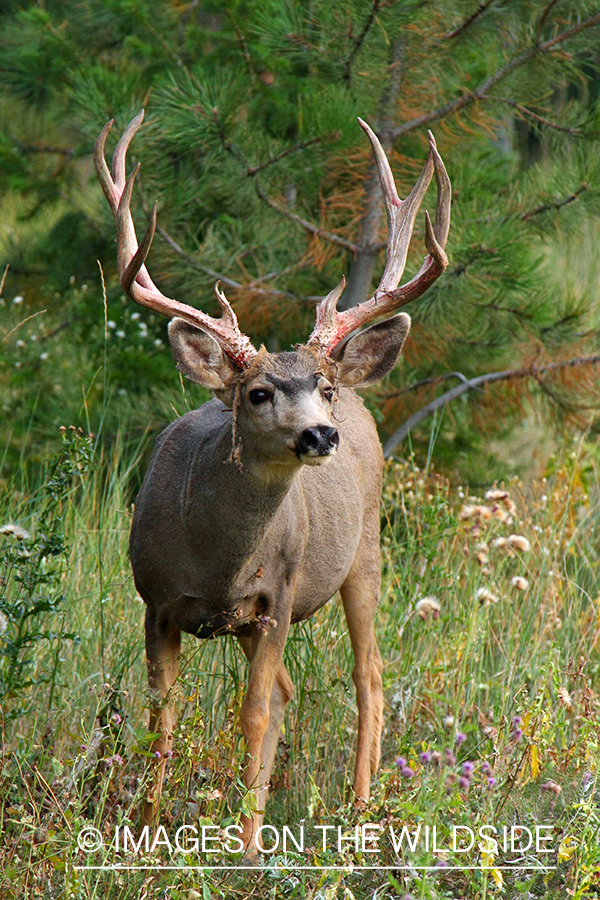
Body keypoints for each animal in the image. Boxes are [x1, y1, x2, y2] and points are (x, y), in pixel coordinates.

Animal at [94, 110, 451, 855]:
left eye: (319, 387)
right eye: (257, 393)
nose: (320, 434)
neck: (217, 564)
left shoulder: (275, 598)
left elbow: (252, 716)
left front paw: (244, 844)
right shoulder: (156, 602)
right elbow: (161, 724)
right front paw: (148, 836)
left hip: (364, 554)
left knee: (369, 677)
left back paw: (357, 813)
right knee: (293, 691)